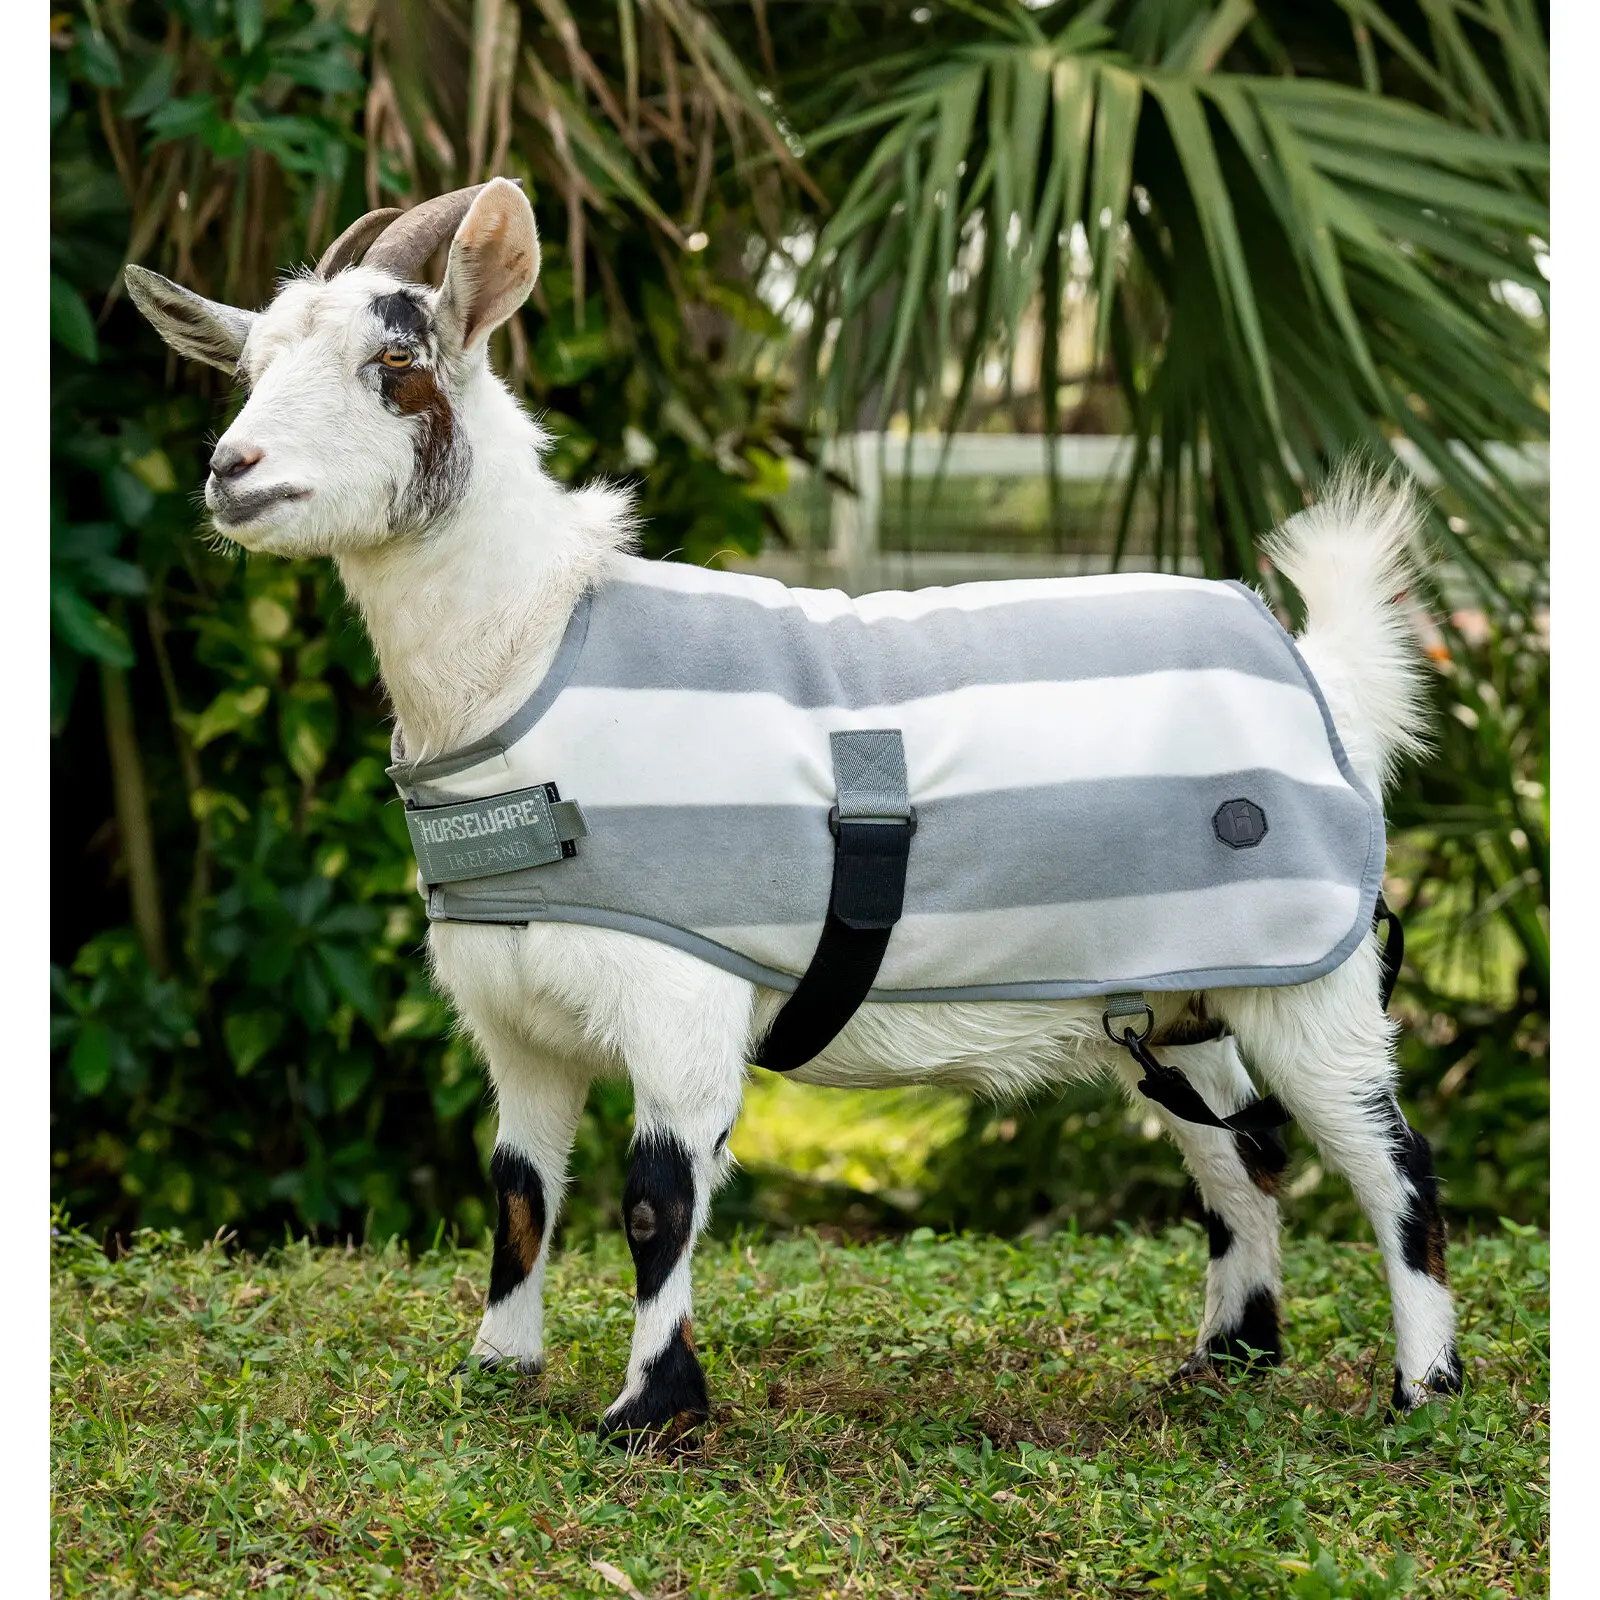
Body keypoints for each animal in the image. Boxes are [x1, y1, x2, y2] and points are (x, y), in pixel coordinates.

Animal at [127, 177, 1460, 1442]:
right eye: (248, 369)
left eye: (395, 363)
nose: (232, 473)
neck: (532, 649)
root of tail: (1321, 675)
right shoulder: (514, 1024)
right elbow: (517, 1189)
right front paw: (495, 1372)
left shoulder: (679, 996)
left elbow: (657, 1195)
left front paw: (649, 1413)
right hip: (1181, 999)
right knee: (1239, 1150)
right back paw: (1227, 1360)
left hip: (1315, 978)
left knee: (1386, 1153)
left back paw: (1421, 1389)